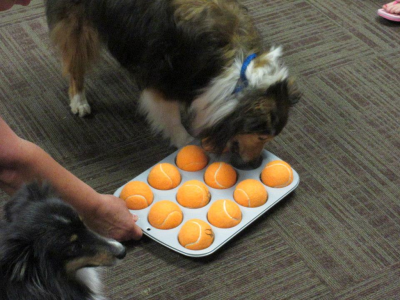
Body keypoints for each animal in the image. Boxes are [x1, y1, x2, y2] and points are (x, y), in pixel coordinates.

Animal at [45, 0, 300, 169]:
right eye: (261, 137)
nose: (255, 164)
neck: (239, 72)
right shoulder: (163, 84)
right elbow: (171, 118)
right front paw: (187, 142)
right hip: (78, 25)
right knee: (75, 66)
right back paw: (79, 101)